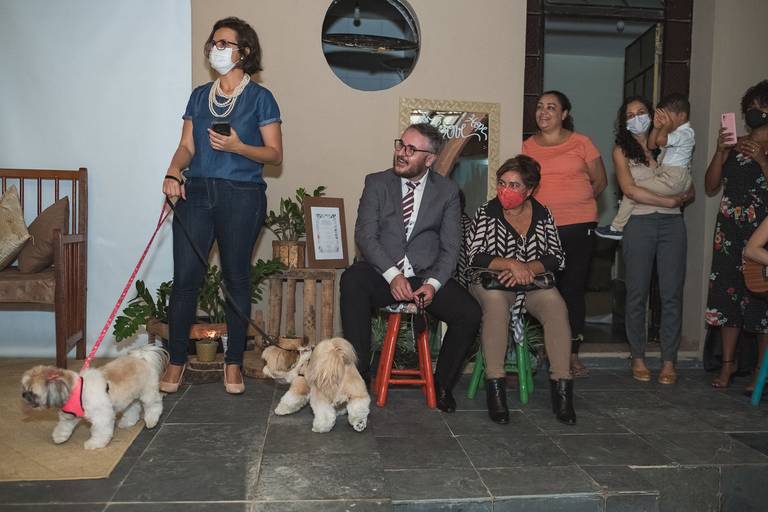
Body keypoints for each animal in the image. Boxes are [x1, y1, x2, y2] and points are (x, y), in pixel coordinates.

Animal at [20, 345, 168, 450]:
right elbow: (64, 426)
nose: (23, 395)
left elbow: (100, 432)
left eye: (32, 392)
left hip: (147, 392)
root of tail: (140, 357)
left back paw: (151, 420)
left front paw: (94, 444)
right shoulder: (70, 416)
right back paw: (128, 422)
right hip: (129, 397)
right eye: (24, 387)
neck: (77, 392)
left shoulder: (102, 417)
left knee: (154, 405)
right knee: (133, 408)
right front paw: (59, 437)